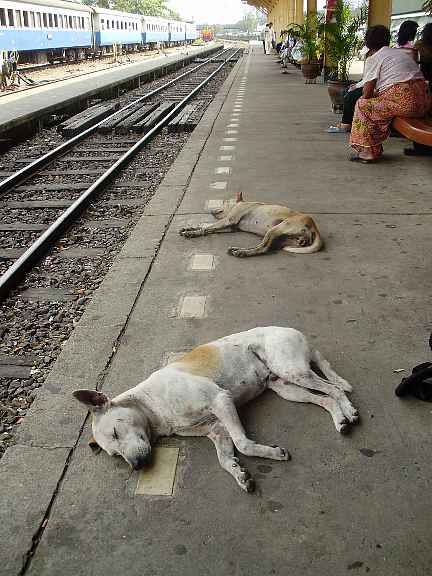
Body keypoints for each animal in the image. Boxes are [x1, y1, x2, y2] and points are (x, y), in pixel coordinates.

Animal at [74, 326, 358, 492]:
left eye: (115, 432)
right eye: (115, 454)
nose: (136, 466)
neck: (153, 406)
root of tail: (298, 333)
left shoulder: (222, 401)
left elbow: (243, 444)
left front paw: (271, 454)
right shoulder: (217, 429)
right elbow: (224, 459)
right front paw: (239, 474)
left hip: (293, 370)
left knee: (335, 389)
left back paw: (350, 412)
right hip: (287, 387)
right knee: (326, 399)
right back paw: (340, 419)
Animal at [177, 192, 322, 258]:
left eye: (224, 201)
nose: (211, 210)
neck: (240, 203)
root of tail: (314, 226)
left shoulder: (229, 220)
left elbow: (207, 227)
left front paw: (192, 232)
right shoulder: (230, 227)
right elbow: (206, 227)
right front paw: (190, 228)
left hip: (276, 229)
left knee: (263, 248)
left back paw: (241, 252)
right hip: (280, 238)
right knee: (265, 247)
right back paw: (238, 250)